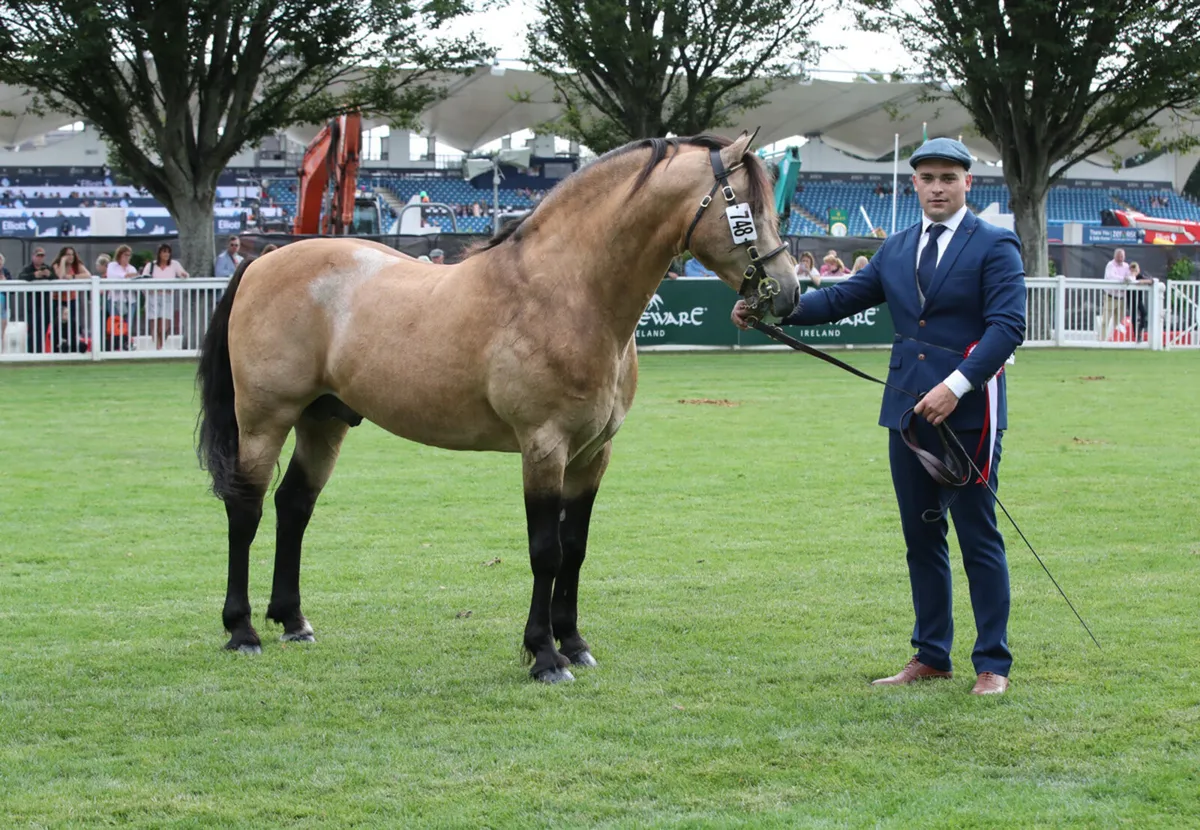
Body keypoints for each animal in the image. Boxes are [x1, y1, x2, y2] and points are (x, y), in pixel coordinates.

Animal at [196, 131, 799, 683]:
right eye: (744, 209)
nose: (789, 292)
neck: (566, 294)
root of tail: (266, 259)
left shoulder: (592, 455)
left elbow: (575, 548)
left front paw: (574, 643)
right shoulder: (544, 447)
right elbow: (545, 551)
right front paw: (545, 656)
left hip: (323, 420)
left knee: (293, 505)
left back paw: (293, 621)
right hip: (264, 420)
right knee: (246, 509)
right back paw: (242, 630)